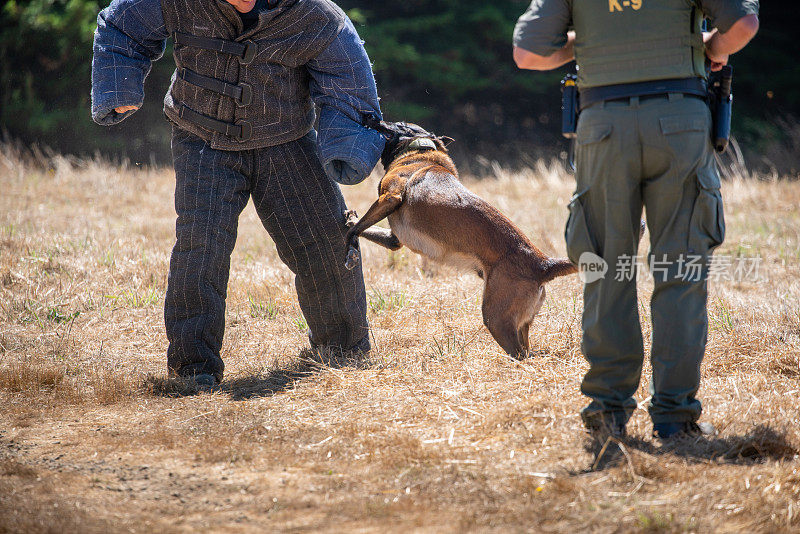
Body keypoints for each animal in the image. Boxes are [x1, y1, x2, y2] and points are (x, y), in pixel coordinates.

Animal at [344, 120, 576, 362]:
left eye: (398, 124)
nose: (377, 120)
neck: (422, 150)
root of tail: (543, 264)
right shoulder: (393, 239)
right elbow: (364, 228)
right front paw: (350, 221)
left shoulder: (390, 198)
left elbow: (358, 228)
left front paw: (349, 249)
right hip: (520, 322)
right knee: (527, 350)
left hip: (495, 318)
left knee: (519, 354)